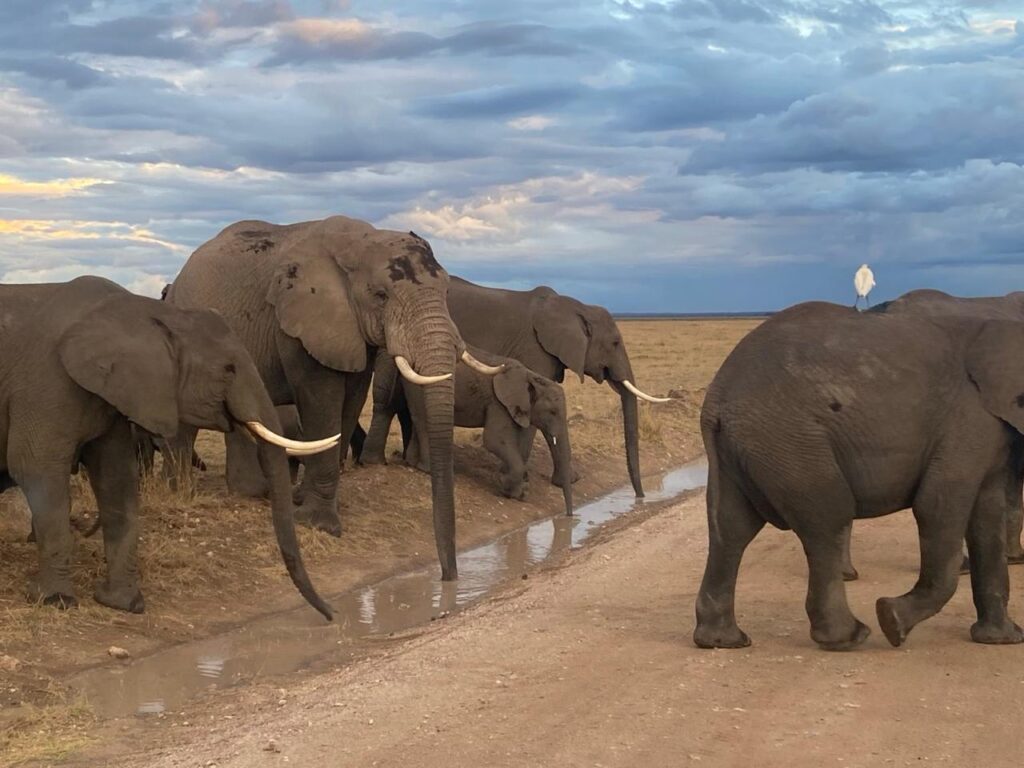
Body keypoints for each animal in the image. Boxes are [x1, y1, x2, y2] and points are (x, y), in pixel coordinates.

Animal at [0, 276, 333, 618]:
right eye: (228, 369)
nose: (328, 615)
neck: (151, 314)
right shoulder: (47, 385)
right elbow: (38, 471)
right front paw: (56, 601)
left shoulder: (118, 394)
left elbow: (116, 478)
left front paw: (124, 604)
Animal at [166, 216, 500, 582]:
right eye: (381, 295)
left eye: (446, 292)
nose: (448, 577)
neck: (360, 240)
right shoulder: (302, 322)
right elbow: (321, 401)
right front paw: (320, 525)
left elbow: (351, 401)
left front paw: (305, 503)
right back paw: (181, 492)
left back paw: (250, 491)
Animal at [360, 276, 668, 497]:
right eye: (614, 343)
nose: (640, 496)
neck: (575, 307)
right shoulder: (534, 350)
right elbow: (532, 418)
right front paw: (535, 480)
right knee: (388, 399)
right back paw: (382, 464)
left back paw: (398, 461)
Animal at [376, 347, 575, 516]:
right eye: (553, 412)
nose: (570, 516)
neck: (532, 376)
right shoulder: (498, 403)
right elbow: (494, 439)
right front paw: (509, 489)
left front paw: (516, 487)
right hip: (420, 386)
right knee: (424, 421)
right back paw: (427, 469)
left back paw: (412, 462)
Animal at [694, 301, 1024, 651]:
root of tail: (717, 398)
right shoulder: (966, 424)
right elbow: (936, 507)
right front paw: (891, 621)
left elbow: (987, 519)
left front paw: (1002, 639)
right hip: (788, 440)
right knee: (828, 520)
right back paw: (849, 638)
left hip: (746, 447)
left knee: (731, 530)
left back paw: (723, 640)